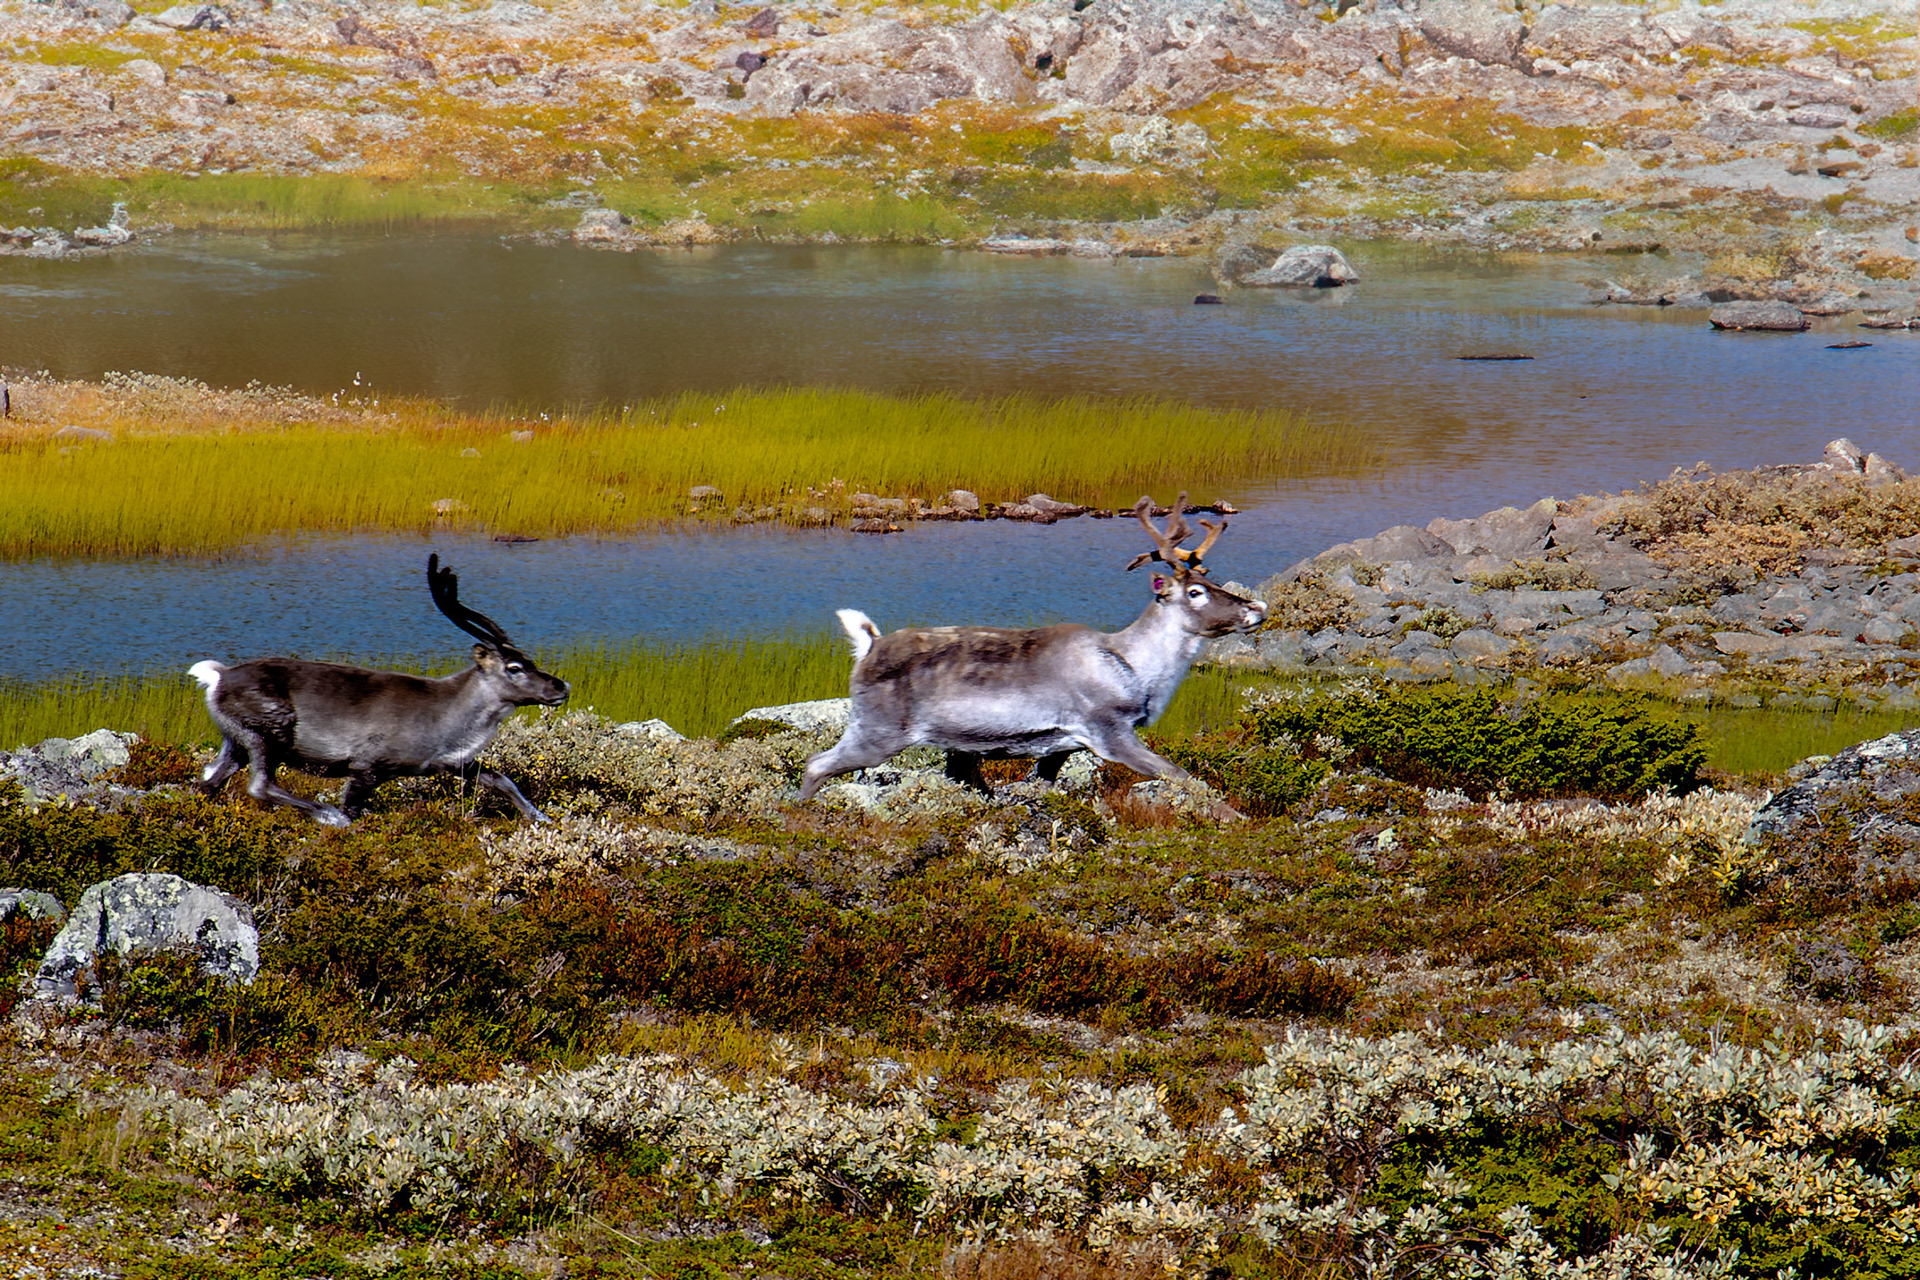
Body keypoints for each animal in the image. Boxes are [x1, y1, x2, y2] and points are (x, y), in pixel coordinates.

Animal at [189, 555, 569, 827]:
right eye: (514, 667)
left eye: (529, 659)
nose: (561, 686)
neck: (449, 717)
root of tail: (218, 677)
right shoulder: (367, 766)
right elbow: (353, 808)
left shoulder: (450, 762)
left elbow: (502, 779)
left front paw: (542, 818)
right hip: (271, 730)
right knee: (260, 785)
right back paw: (327, 815)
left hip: (236, 740)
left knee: (208, 779)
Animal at [798, 494, 1267, 803]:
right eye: (1194, 592)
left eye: (1211, 580)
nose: (1257, 608)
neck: (1137, 671)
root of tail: (868, 645)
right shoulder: (1109, 732)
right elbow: (1183, 776)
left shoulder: (1063, 746)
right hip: (877, 731)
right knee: (815, 764)